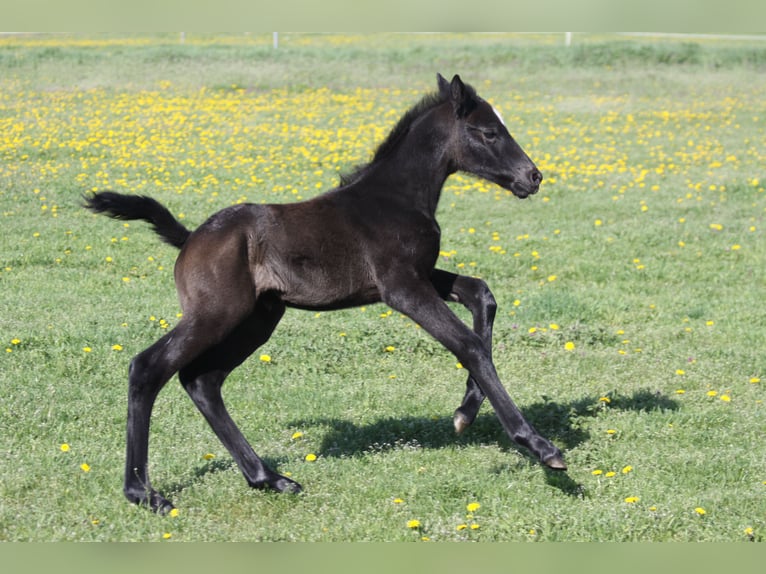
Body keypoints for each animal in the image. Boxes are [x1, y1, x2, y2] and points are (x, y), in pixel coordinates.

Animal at [84, 74, 566, 513]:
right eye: (489, 132)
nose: (533, 176)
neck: (397, 197)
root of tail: (189, 239)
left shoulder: (421, 275)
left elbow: (482, 294)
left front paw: (465, 411)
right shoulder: (402, 288)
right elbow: (468, 344)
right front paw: (541, 447)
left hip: (258, 318)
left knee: (202, 379)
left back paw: (269, 478)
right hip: (216, 312)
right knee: (148, 367)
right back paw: (144, 493)